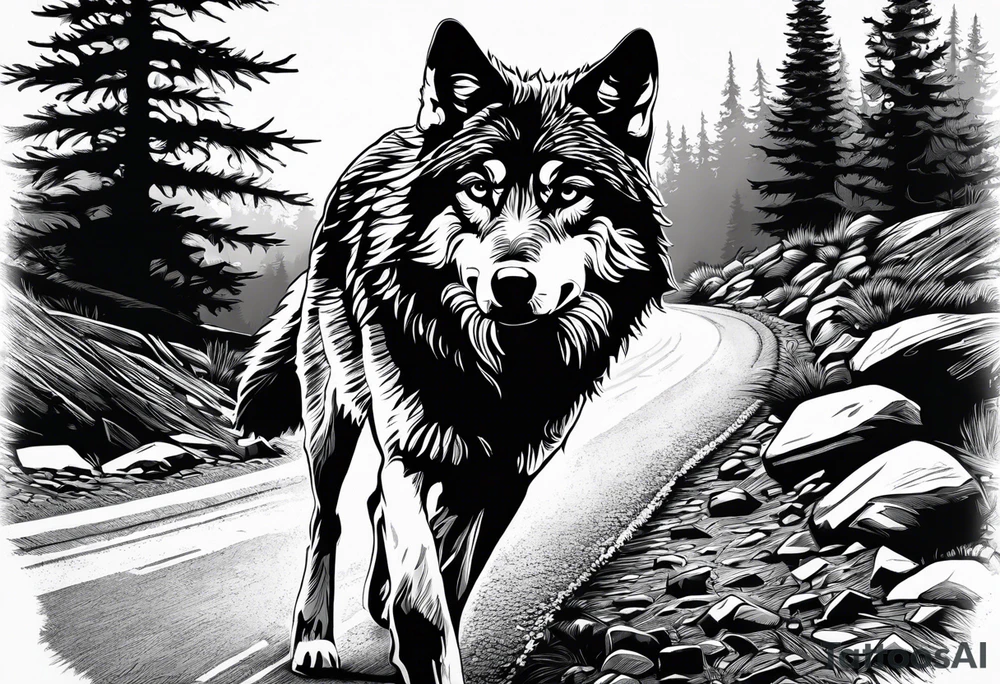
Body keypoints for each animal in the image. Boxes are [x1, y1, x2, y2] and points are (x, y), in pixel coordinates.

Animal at [235, 18, 675, 684]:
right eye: (479, 188)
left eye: (567, 193)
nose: (512, 284)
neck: (499, 374)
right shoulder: (410, 456)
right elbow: (423, 592)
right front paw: (416, 634)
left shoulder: (504, 481)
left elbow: (453, 574)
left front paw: (410, 608)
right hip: (332, 423)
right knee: (327, 520)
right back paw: (314, 640)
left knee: (381, 511)